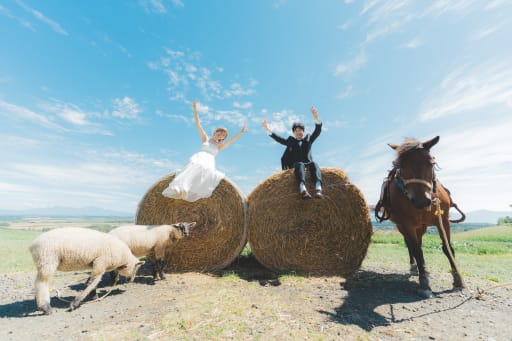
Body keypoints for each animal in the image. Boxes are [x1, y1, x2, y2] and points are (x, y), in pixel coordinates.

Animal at [376, 135, 464, 298]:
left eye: (431, 162)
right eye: (400, 166)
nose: (421, 201)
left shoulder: (443, 220)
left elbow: (447, 248)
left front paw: (458, 279)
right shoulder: (407, 224)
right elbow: (416, 250)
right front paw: (425, 284)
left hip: (421, 227)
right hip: (402, 227)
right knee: (410, 245)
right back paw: (414, 267)